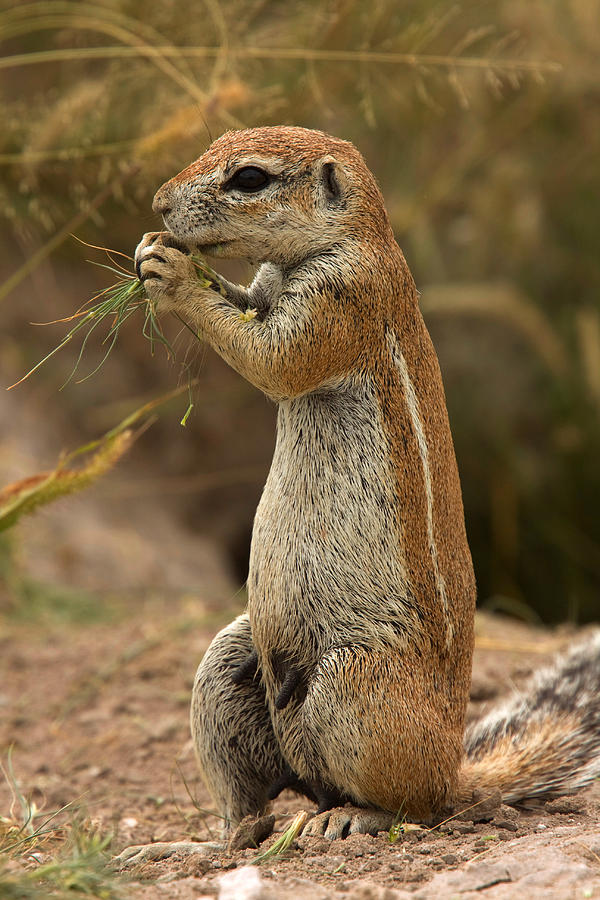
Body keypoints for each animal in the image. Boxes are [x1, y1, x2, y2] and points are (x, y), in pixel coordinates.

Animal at [135, 125, 600, 836]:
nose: (158, 203)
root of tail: (454, 773)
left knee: (410, 806)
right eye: (217, 139)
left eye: (249, 178)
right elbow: (244, 308)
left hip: (357, 687)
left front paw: (172, 271)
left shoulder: (341, 299)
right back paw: (204, 842)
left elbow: (270, 358)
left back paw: (355, 818)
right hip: (230, 662)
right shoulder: (270, 286)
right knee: (257, 810)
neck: (348, 238)